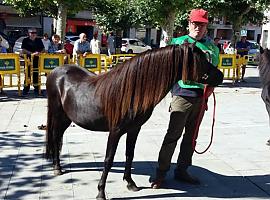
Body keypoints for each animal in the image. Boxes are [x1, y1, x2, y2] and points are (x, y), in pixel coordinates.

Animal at [45, 43, 224, 199]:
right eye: (200, 60)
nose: (220, 76)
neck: (130, 92)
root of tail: (56, 71)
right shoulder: (115, 132)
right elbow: (108, 160)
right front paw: (101, 192)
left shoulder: (134, 129)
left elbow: (129, 154)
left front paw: (130, 183)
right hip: (58, 114)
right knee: (55, 136)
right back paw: (57, 168)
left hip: (67, 118)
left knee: (58, 137)